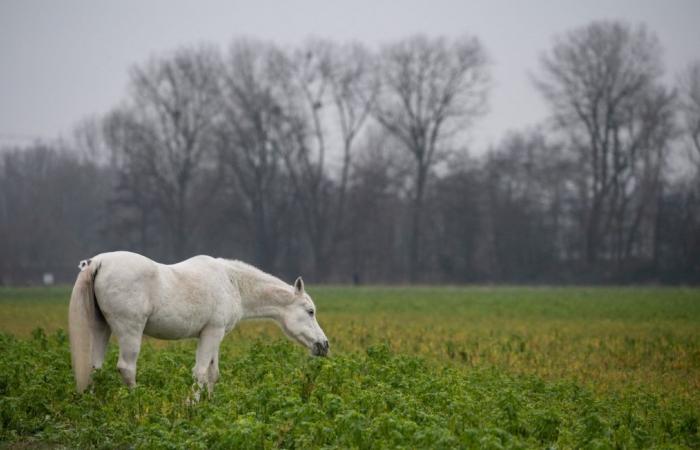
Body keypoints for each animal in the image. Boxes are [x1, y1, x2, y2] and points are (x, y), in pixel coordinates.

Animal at [68, 253, 328, 394]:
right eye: (310, 311)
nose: (324, 345)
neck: (232, 281)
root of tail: (98, 263)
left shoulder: (214, 336)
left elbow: (212, 374)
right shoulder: (212, 333)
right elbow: (201, 373)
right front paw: (193, 407)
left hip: (102, 329)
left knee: (95, 367)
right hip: (129, 331)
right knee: (126, 368)